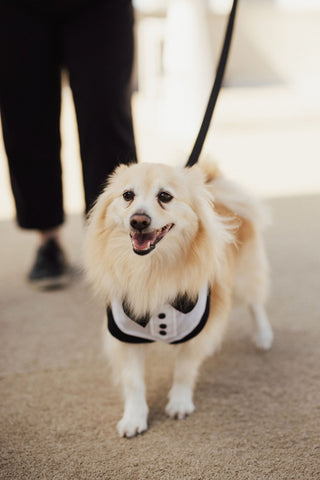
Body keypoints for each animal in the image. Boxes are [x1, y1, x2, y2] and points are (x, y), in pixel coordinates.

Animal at [84, 161, 274, 438]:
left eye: (165, 196)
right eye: (128, 195)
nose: (138, 220)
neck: (151, 271)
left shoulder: (196, 332)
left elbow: (184, 371)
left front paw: (179, 403)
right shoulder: (125, 336)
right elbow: (133, 381)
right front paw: (134, 417)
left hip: (243, 277)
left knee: (255, 303)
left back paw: (263, 335)